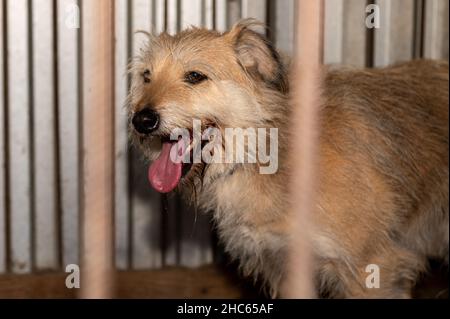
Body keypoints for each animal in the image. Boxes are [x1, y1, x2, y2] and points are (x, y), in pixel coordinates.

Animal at [128, 20, 448, 298]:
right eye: (146, 77)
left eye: (195, 76)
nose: (141, 120)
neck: (263, 148)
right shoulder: (286, 268)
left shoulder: (372, 268)